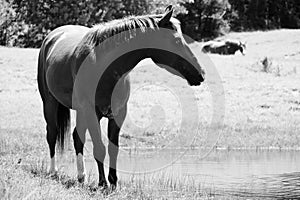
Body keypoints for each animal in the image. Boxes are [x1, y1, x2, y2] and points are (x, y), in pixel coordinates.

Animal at [37, 5, 205, 191]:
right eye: (176, 41)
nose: (200, 73)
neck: (103, 65)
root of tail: (52, 37)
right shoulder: (91, 112)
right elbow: (100, 148)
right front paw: (103, 183)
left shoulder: (118, 114)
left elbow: (113, 149)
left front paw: (113, 182)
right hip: (50, 104)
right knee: (52, 134)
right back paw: (53, 171)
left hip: (81, 112)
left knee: (77, 137)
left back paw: (81, 177)